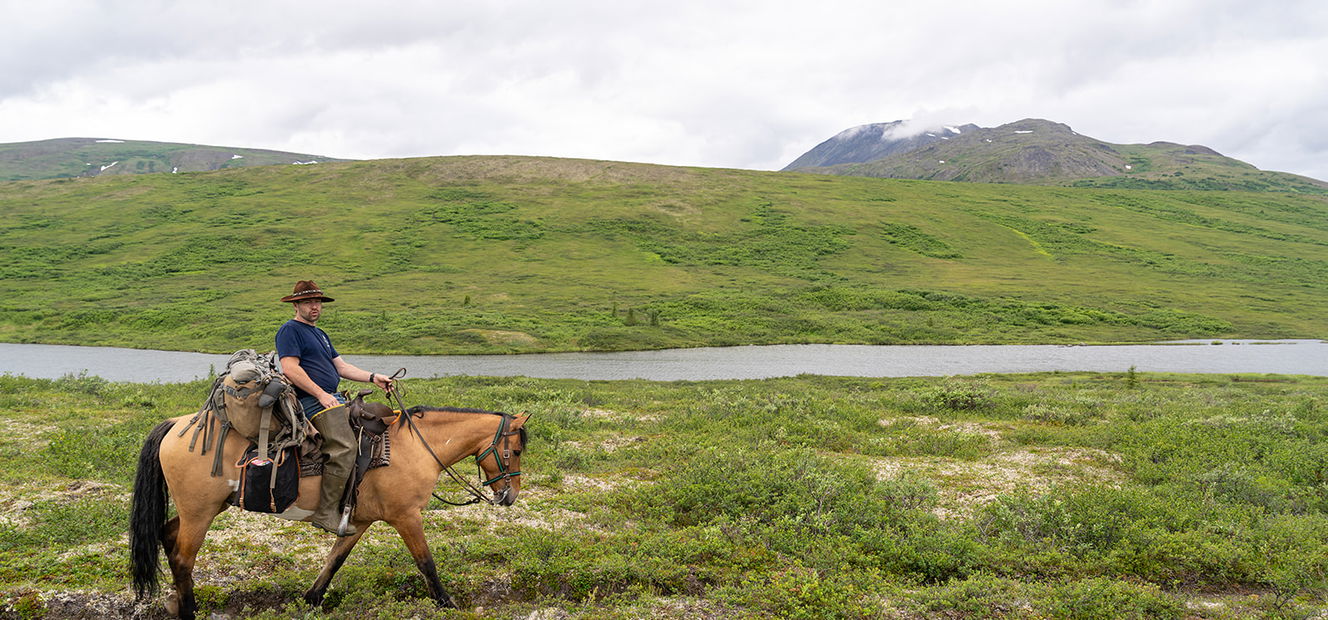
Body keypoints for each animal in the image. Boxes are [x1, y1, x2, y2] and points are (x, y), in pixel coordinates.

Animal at [130, 400, 529, 620]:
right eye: (515, 450)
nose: (509, 496)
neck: (416, 447)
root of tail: (177, 425)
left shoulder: (359, 521)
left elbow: (334, 560)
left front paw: (311, 599)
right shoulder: (406, 517)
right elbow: (425, 562)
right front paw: (446, 603)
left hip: (202, 509)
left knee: (167, 537)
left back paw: (177, 603)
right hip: (201, 512)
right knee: (183, 558)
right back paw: (189, 610)